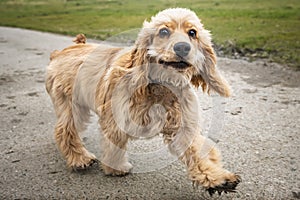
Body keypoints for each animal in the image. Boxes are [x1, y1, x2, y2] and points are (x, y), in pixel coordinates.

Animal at [45, 8, 240, 195]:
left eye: (192, 32)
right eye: (163, 31)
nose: (183, 47)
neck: (162, 86)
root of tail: (62, 51)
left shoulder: (181, 127)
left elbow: (197, 153)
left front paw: (218, 178)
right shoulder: (116, 121)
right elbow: (114, 147)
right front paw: (116, 168)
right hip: (72, 106)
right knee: (64, 130)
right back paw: (80, 159)